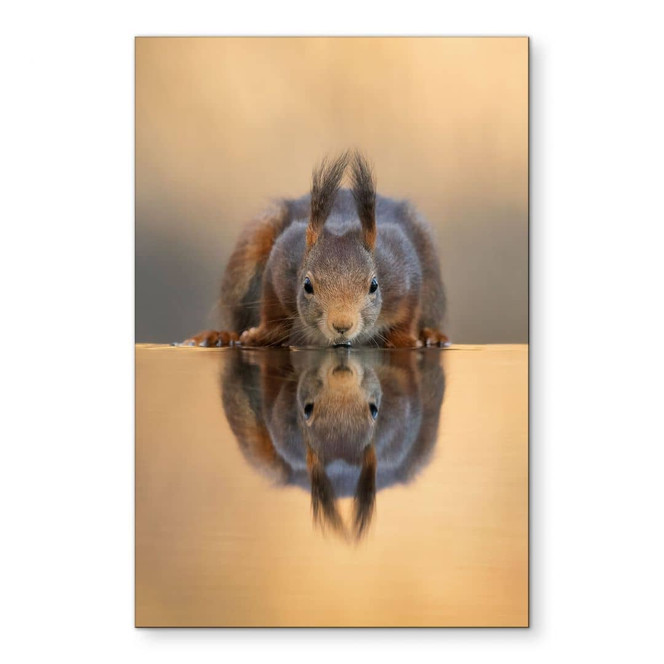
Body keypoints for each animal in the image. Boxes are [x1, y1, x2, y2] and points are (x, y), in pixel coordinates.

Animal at [185, 151, 449, 348]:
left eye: (374, 285)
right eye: (307, 285)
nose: (341, 325)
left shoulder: (402, 267)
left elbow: (408, 313)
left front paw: (405, 339)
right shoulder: (282, 260)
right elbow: (271, 308)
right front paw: (262, 334)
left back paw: (432, 336)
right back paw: (220, 336)